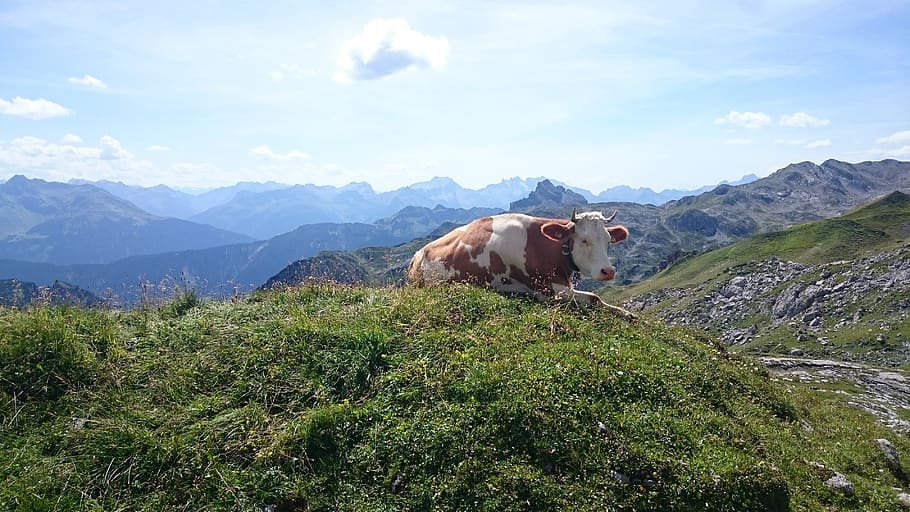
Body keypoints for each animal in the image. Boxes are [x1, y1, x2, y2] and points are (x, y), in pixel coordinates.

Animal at [406, 209, 636, 319]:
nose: (608, 271)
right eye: (584, 240)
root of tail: (417, 255)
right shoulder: (549, 291)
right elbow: (595, 298)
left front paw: (626, 313)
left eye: (608, 240)